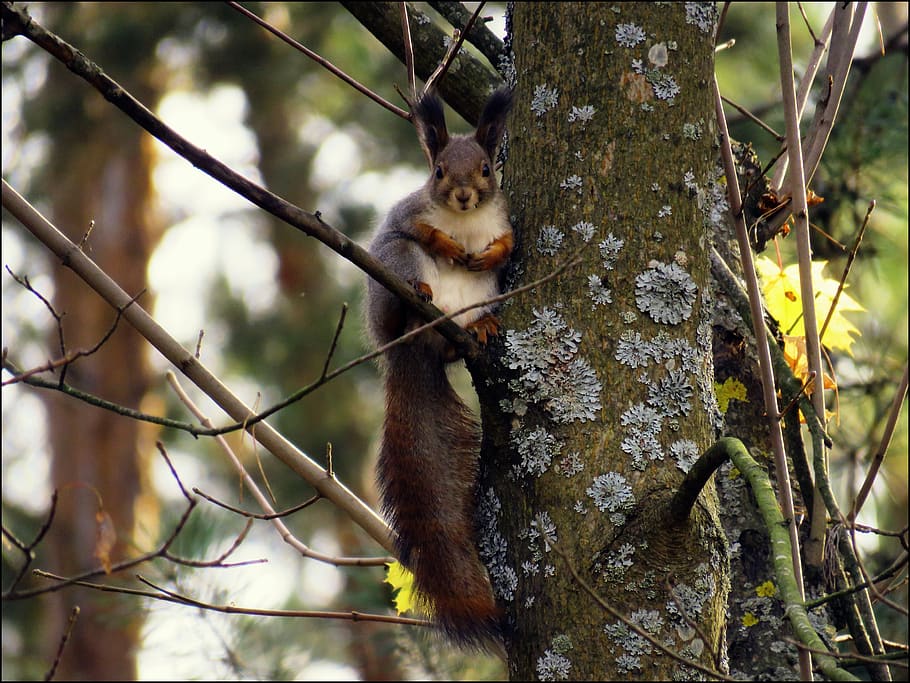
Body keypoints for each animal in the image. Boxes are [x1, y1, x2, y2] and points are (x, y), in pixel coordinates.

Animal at [365, 87, 513, 650]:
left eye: (488, 169)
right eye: (438, 172)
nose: (466, 196)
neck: (468, 223)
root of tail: (413, 349)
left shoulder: (504, 221)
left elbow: (509, 243)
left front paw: (490, 250)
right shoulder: (405, 216)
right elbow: (418, 228)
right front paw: (447, 244)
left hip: (484, 296)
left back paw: (481, 329)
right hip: (394, 269)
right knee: (404, 266)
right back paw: (421, 299)